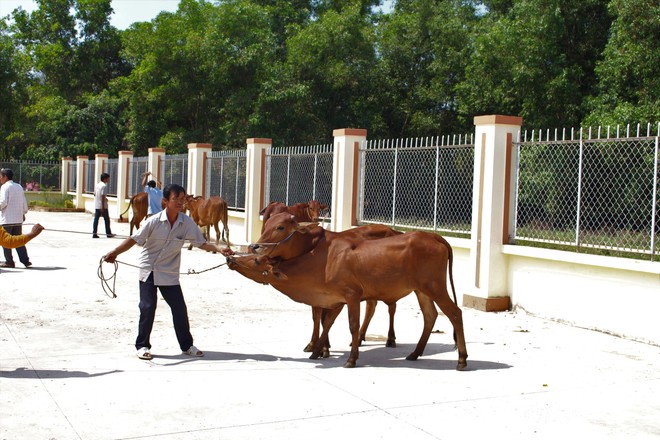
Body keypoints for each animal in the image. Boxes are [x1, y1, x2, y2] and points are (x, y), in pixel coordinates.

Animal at [235, 211, 466, 370]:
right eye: (267, 223)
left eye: (281, 227)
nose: (254, 247)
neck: (318, 254)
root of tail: (434, 237)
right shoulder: (330, 298)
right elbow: (323, 320)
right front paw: (317, 348)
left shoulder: (351, 296)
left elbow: (350, 325)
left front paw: (349, 358)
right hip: (422, 290)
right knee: (430, 316)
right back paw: (415, 353)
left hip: (435, 287)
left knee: (454, 313)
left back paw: (461, 359)